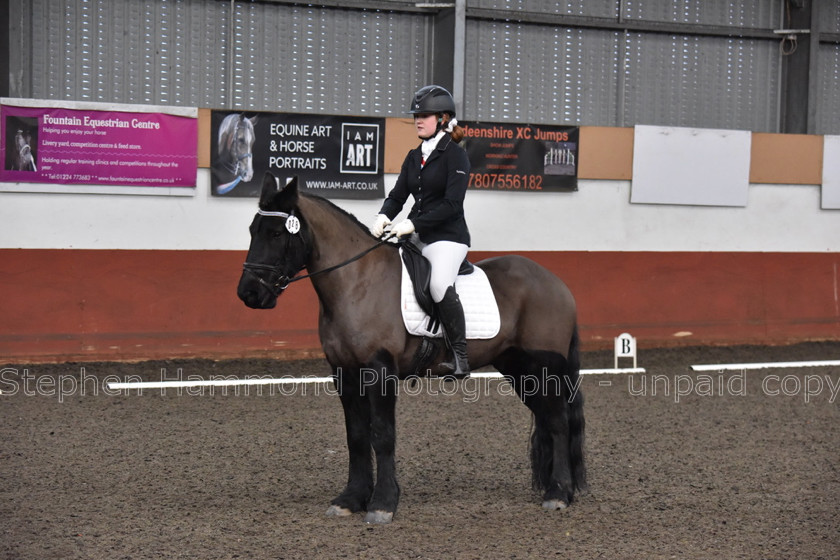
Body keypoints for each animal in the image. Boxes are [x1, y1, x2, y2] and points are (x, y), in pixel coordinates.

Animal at [236, 173, 584, 524]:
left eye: (276, 233)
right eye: (252, 230)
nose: (249, 294)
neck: (356, 283)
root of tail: (555, 282)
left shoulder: (380, 371)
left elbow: (382, 435)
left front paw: (382, 503)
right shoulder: (344, 373)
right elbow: (356, 436)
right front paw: (351, 499)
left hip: (544, 366)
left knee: (558, 421)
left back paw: (558, 494)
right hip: (517, 368)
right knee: (546, 418)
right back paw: (559, 488)